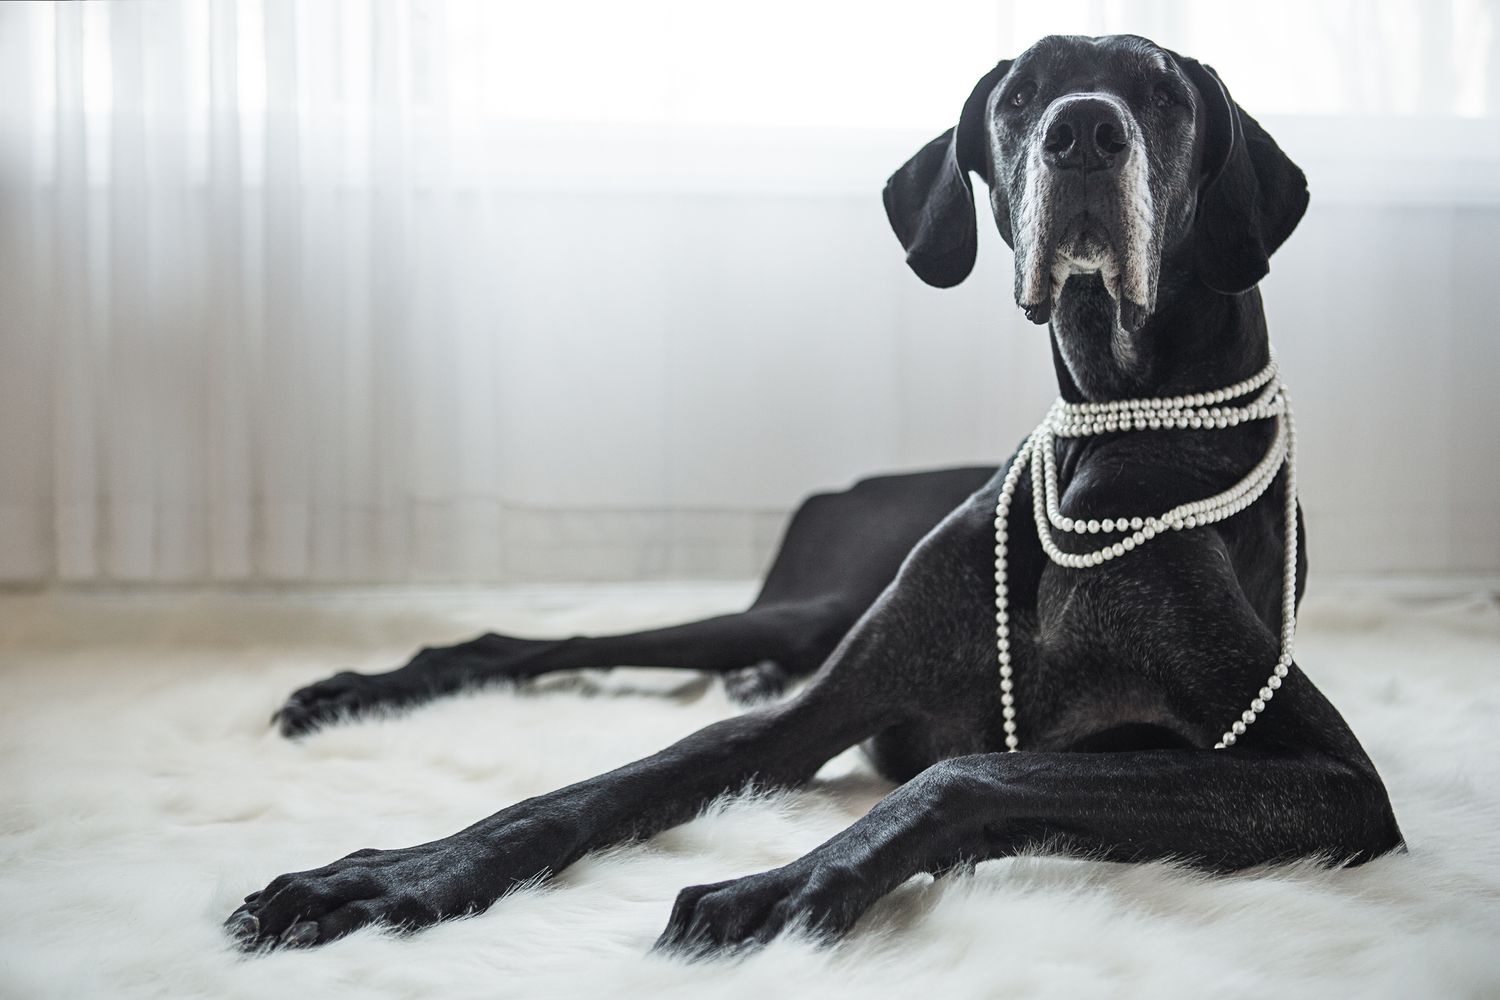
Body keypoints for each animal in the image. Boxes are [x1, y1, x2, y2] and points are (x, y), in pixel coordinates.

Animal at [228, 33, 1398, 953]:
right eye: (1022, 95)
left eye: (1160, 93)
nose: (1082, 134)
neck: (1110, 441)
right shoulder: (816, 711)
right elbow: (582, 794)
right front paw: (388, 876)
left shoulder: (1331, 781)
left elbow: (969, 773)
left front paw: (782, 885)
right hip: (811, 609)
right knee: (541, 644)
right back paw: (355, 689)